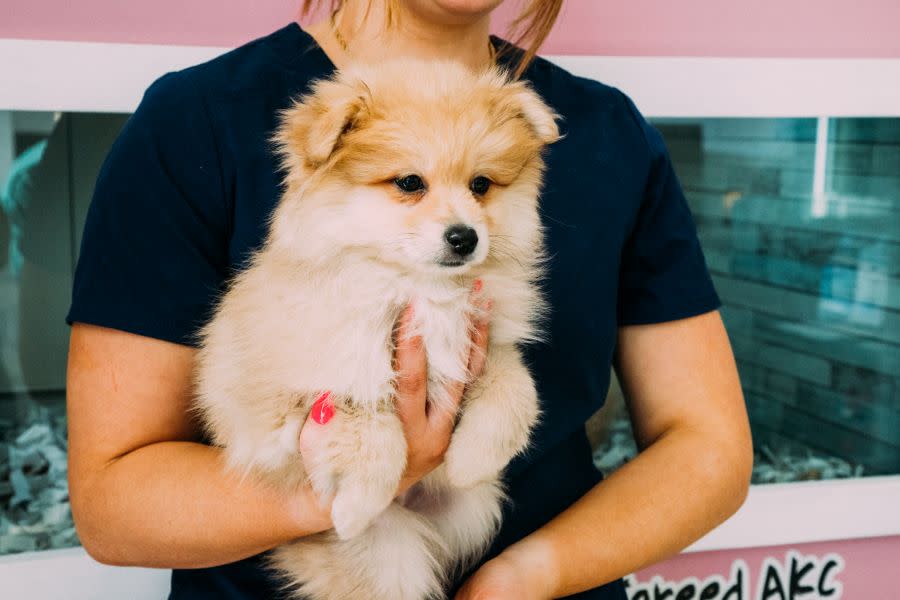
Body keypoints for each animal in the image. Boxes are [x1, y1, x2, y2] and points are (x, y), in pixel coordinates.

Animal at [194, 57, 560, 600]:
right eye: (409, 183)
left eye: (480, 185)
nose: (464, 237)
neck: (417, 287)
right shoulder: (289, 391)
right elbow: (363, 414)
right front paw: (360, 499)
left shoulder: (484, 342)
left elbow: (516, 388)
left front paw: (472, 460)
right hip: (389, 559)